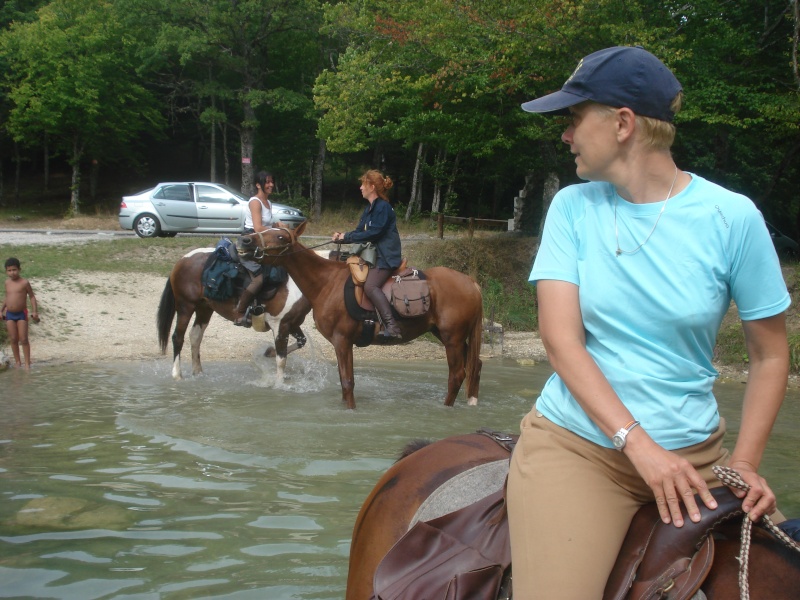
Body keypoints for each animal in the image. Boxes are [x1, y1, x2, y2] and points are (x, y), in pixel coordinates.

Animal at [155, 248, 310, 384]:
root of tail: (182, 260)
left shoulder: (292, 323)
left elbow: (301, 341)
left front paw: (269, 352)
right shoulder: (280, 325)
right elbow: (281, 359)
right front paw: (279, 383)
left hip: (204, 308)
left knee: (195, 336)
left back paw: (198, 372)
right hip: (185, 307)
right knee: (178, 337)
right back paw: (177, 375)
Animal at [241, 223, 482, 410]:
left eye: (280, 236)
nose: (245, 240)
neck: (326, 283)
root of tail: (470, 282)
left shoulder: (342, 341)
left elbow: (348, 382)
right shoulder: (340, 343)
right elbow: (343, 381)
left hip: (452, 339)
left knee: (456, 376)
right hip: (448, 336)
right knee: (475, 365)